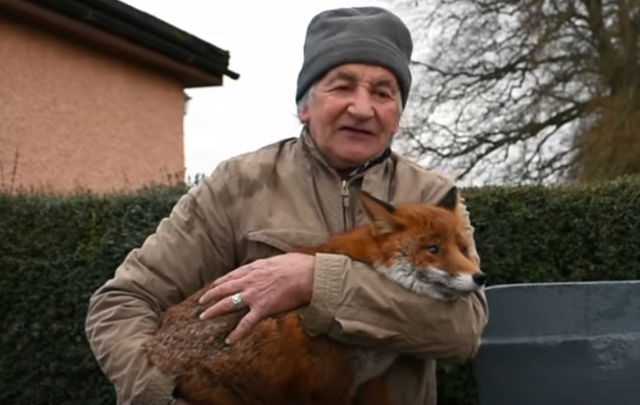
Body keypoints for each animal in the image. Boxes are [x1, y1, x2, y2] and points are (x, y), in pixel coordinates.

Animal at [143, 185, 486, 405]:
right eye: (433, 249)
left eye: (463, 248)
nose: (480, 277)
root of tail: (154, 349)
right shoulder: (329, 388)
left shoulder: (370, 383)